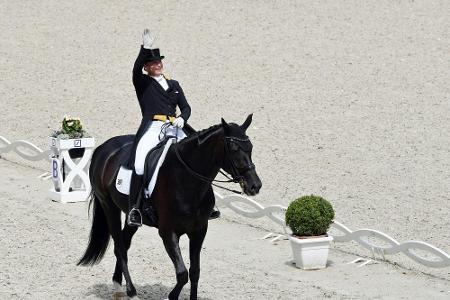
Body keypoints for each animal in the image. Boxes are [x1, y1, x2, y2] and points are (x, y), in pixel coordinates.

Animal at [76, 114, 260, 298]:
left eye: (250, 147)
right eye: (233, 148)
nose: (255, 186)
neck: (187, 179)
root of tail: (103, 148)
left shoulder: (199, 230)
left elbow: (194, 272)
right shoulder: (168, 232)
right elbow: (182, 274)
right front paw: (171, 296)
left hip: (131, 216)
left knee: (125, 242)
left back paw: (117, 282)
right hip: (109, 207)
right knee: (119, 247)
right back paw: (131, 291)